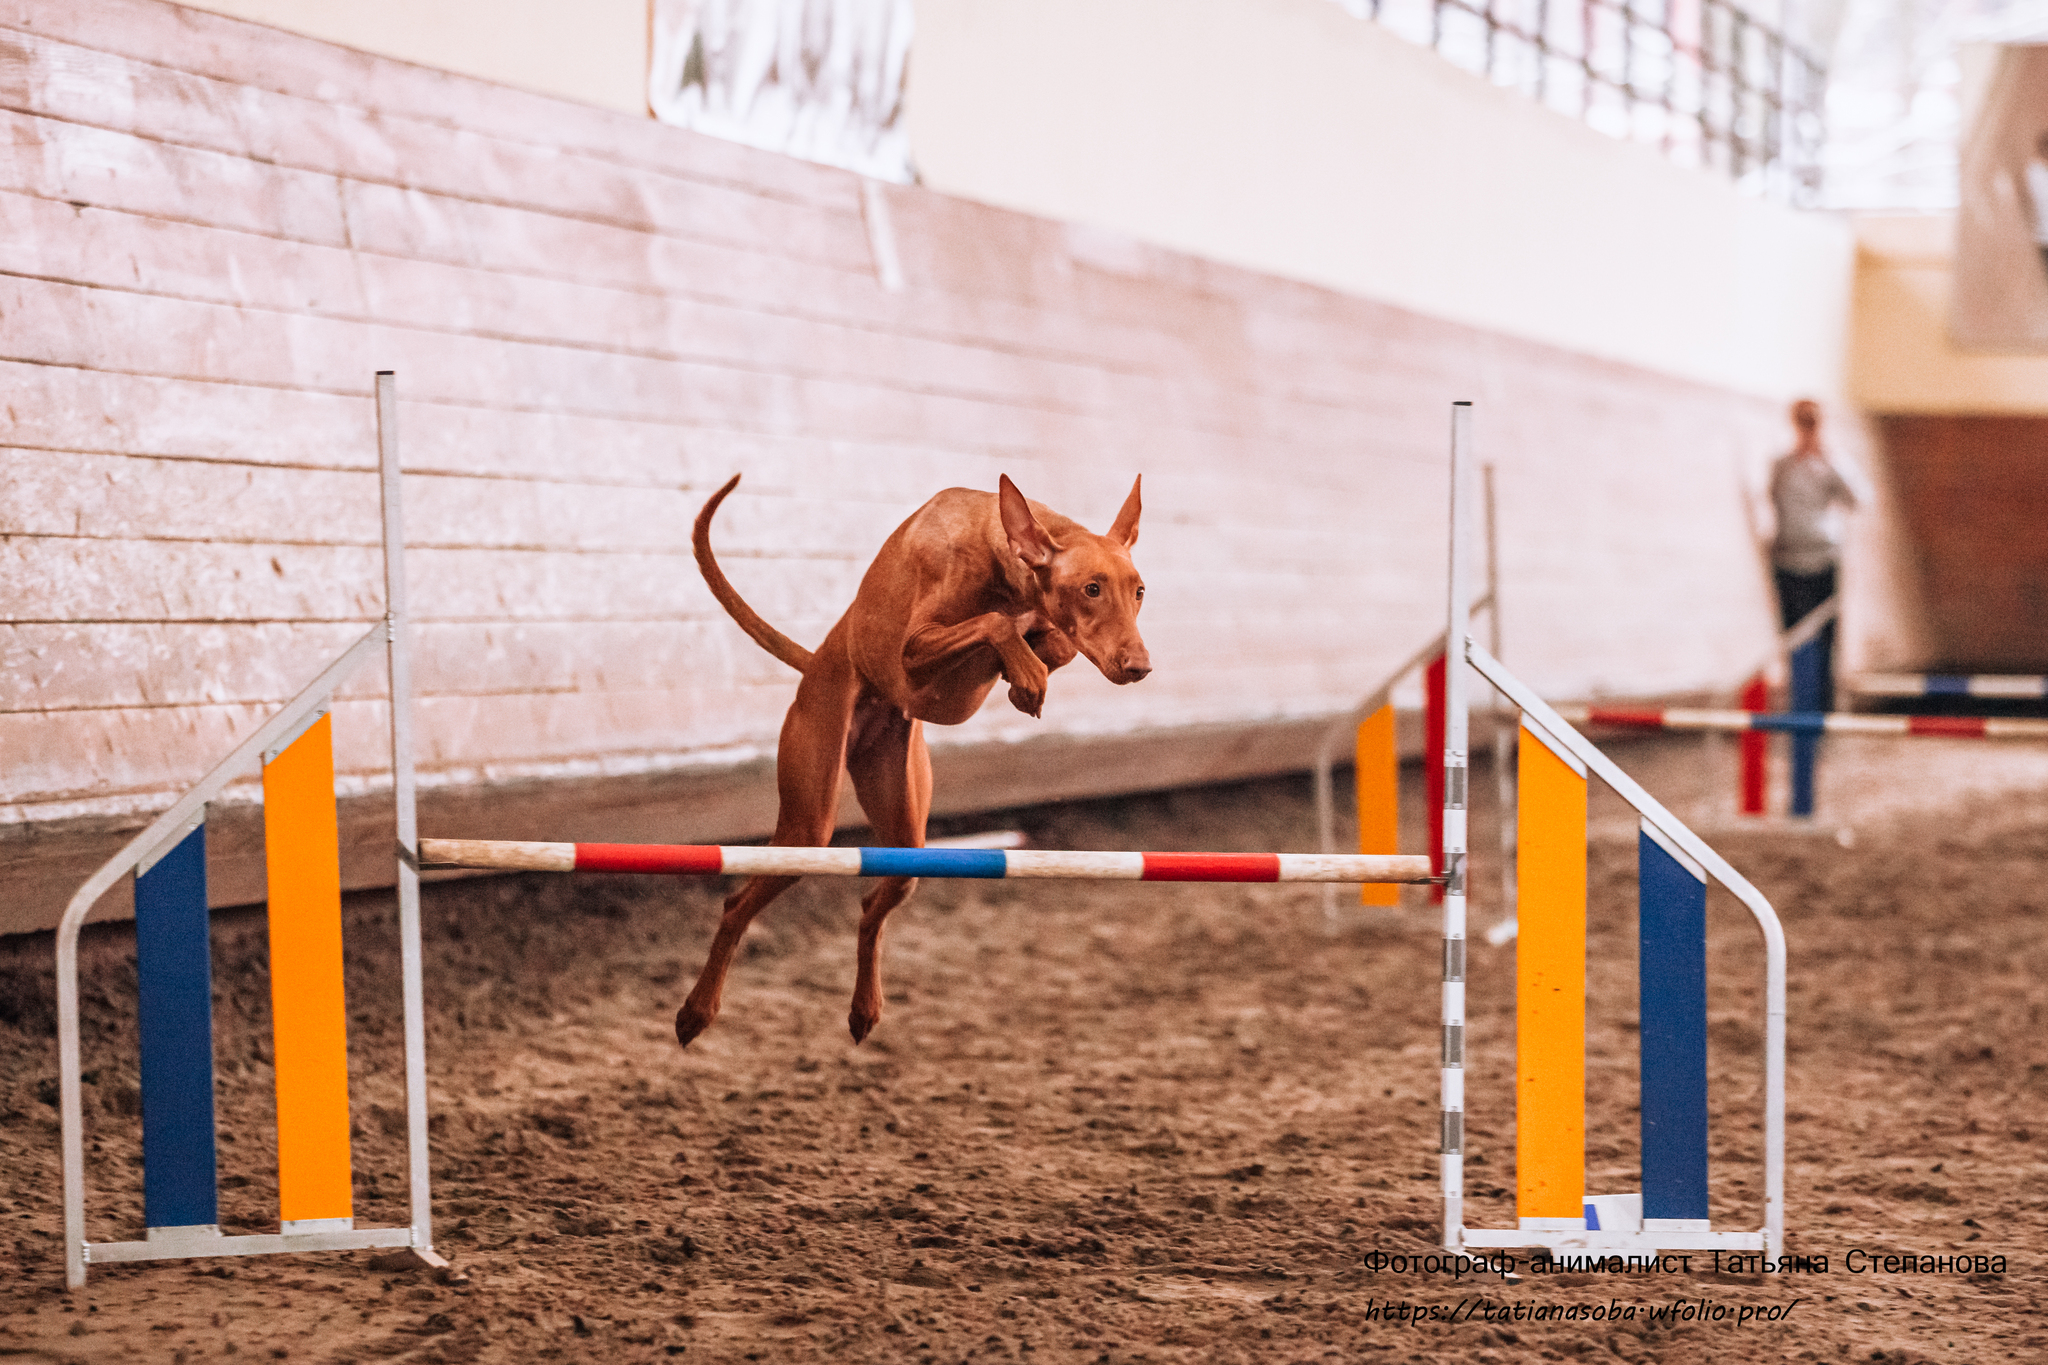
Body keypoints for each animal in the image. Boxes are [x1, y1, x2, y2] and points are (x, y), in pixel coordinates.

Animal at [675, 474, 1146, 1055]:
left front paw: (1027, 674)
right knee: (737, 905)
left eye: (1140, 591)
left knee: (869, 907)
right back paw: (697, 1011)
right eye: (1092, 589)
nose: (1140, 666)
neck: (1001, 555)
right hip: (809, 826)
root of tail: (819, 661)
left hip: (906, 838)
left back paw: (864, 1008)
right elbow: (994, 624)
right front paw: (1025, 672)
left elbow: (1047, 642)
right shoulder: (914, 651)